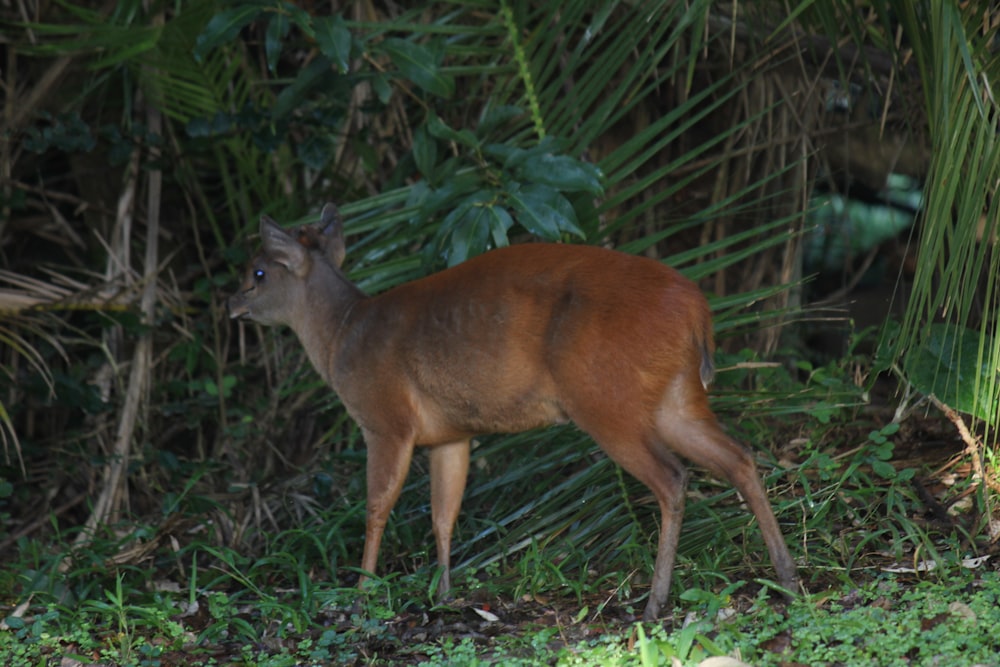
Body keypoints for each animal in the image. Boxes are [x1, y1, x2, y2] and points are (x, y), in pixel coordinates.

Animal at [227, 204, 796, 620]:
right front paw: (443, 593)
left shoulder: (385, 420)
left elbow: (377, 506)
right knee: (739, 457)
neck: (343, 336)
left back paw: (655, 602)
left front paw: (363, 592)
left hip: (605, 399)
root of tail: (697, 310)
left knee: (673, 477)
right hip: (674, 397)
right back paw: (787, 576)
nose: (230, 304)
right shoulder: (451, 436)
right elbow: (444, 514)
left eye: (257, 271)